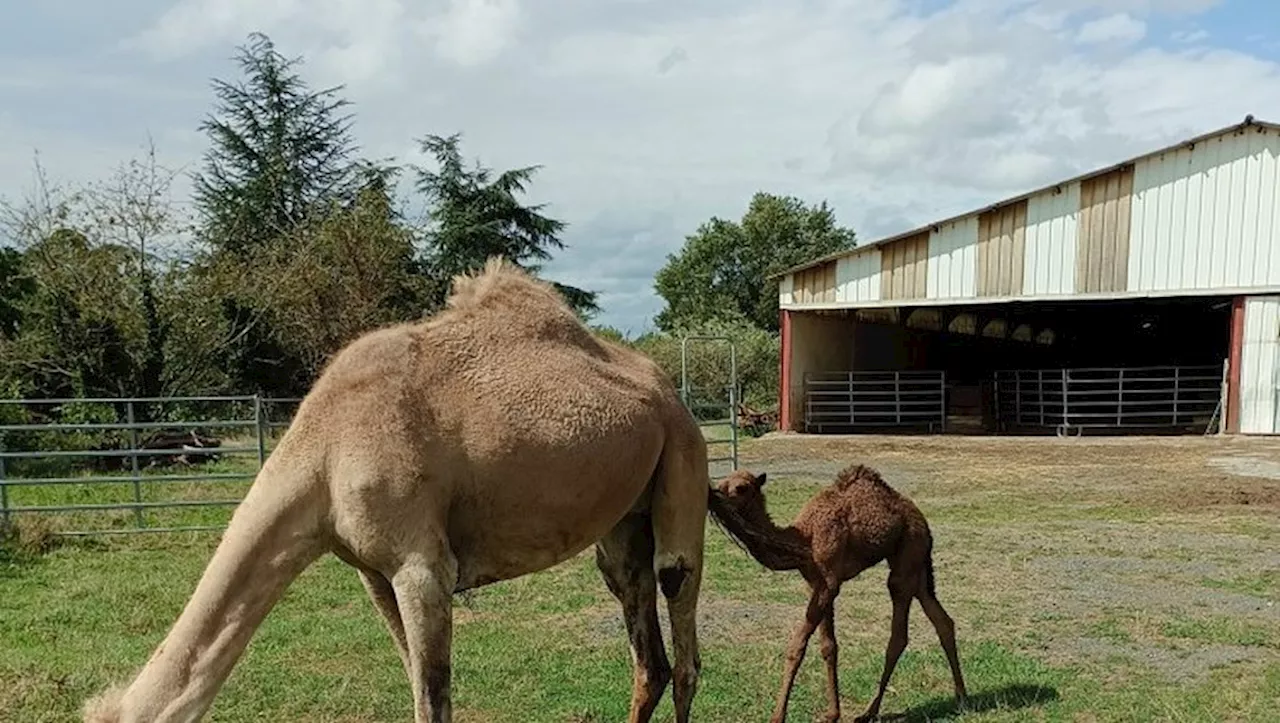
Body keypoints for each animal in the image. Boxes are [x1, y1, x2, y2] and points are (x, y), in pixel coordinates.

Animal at [82, 258, 711, 721]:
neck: (325, 451)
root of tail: (667, 392)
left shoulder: (421, 567)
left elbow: (433, 702)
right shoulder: (372, 572)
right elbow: (418, 687)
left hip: (684, 460)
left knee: (683, 639)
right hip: (623, 526)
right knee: (648, 656)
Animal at [706, 465, 962, 716]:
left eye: (741, 488)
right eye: (722, 483)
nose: (713, 494)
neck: (804, 539)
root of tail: (923, 520)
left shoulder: (829, 582)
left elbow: (797, 646)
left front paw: (777, 716)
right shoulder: (816, 583)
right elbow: (828, 646)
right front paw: (832, 714)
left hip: (908, 551)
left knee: (899, 630)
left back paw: (869, 712)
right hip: (916, 564)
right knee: (941, 618)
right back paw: (961, 698)